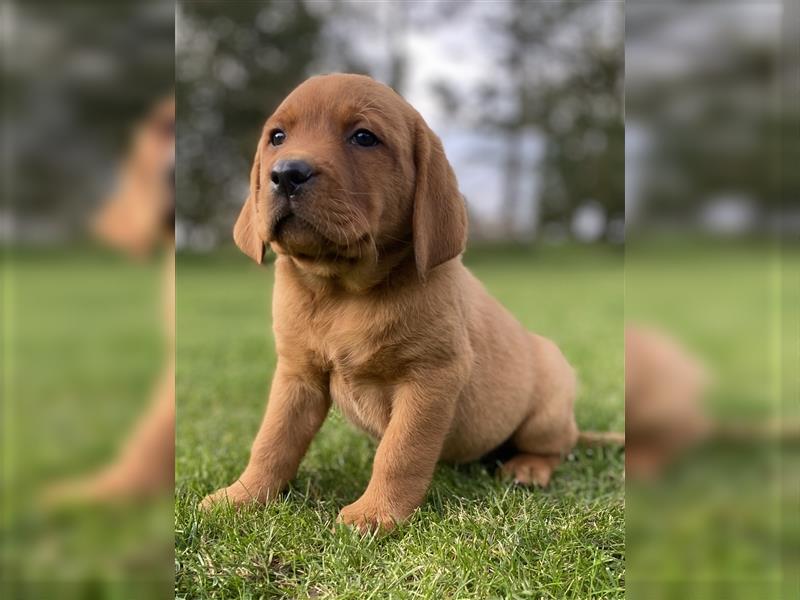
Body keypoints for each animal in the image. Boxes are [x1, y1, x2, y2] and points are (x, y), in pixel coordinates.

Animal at [203, 74, 580, 528]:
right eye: (277, 137)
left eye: (364, 137)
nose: (287, 174)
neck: (343, 291)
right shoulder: (297, 375)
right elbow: (272, 440)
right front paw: (241, 496)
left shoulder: (433, 376)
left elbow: (402, 451)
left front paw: (377, 514)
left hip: (547, 410)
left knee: (556, 447)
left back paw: (528, 467)